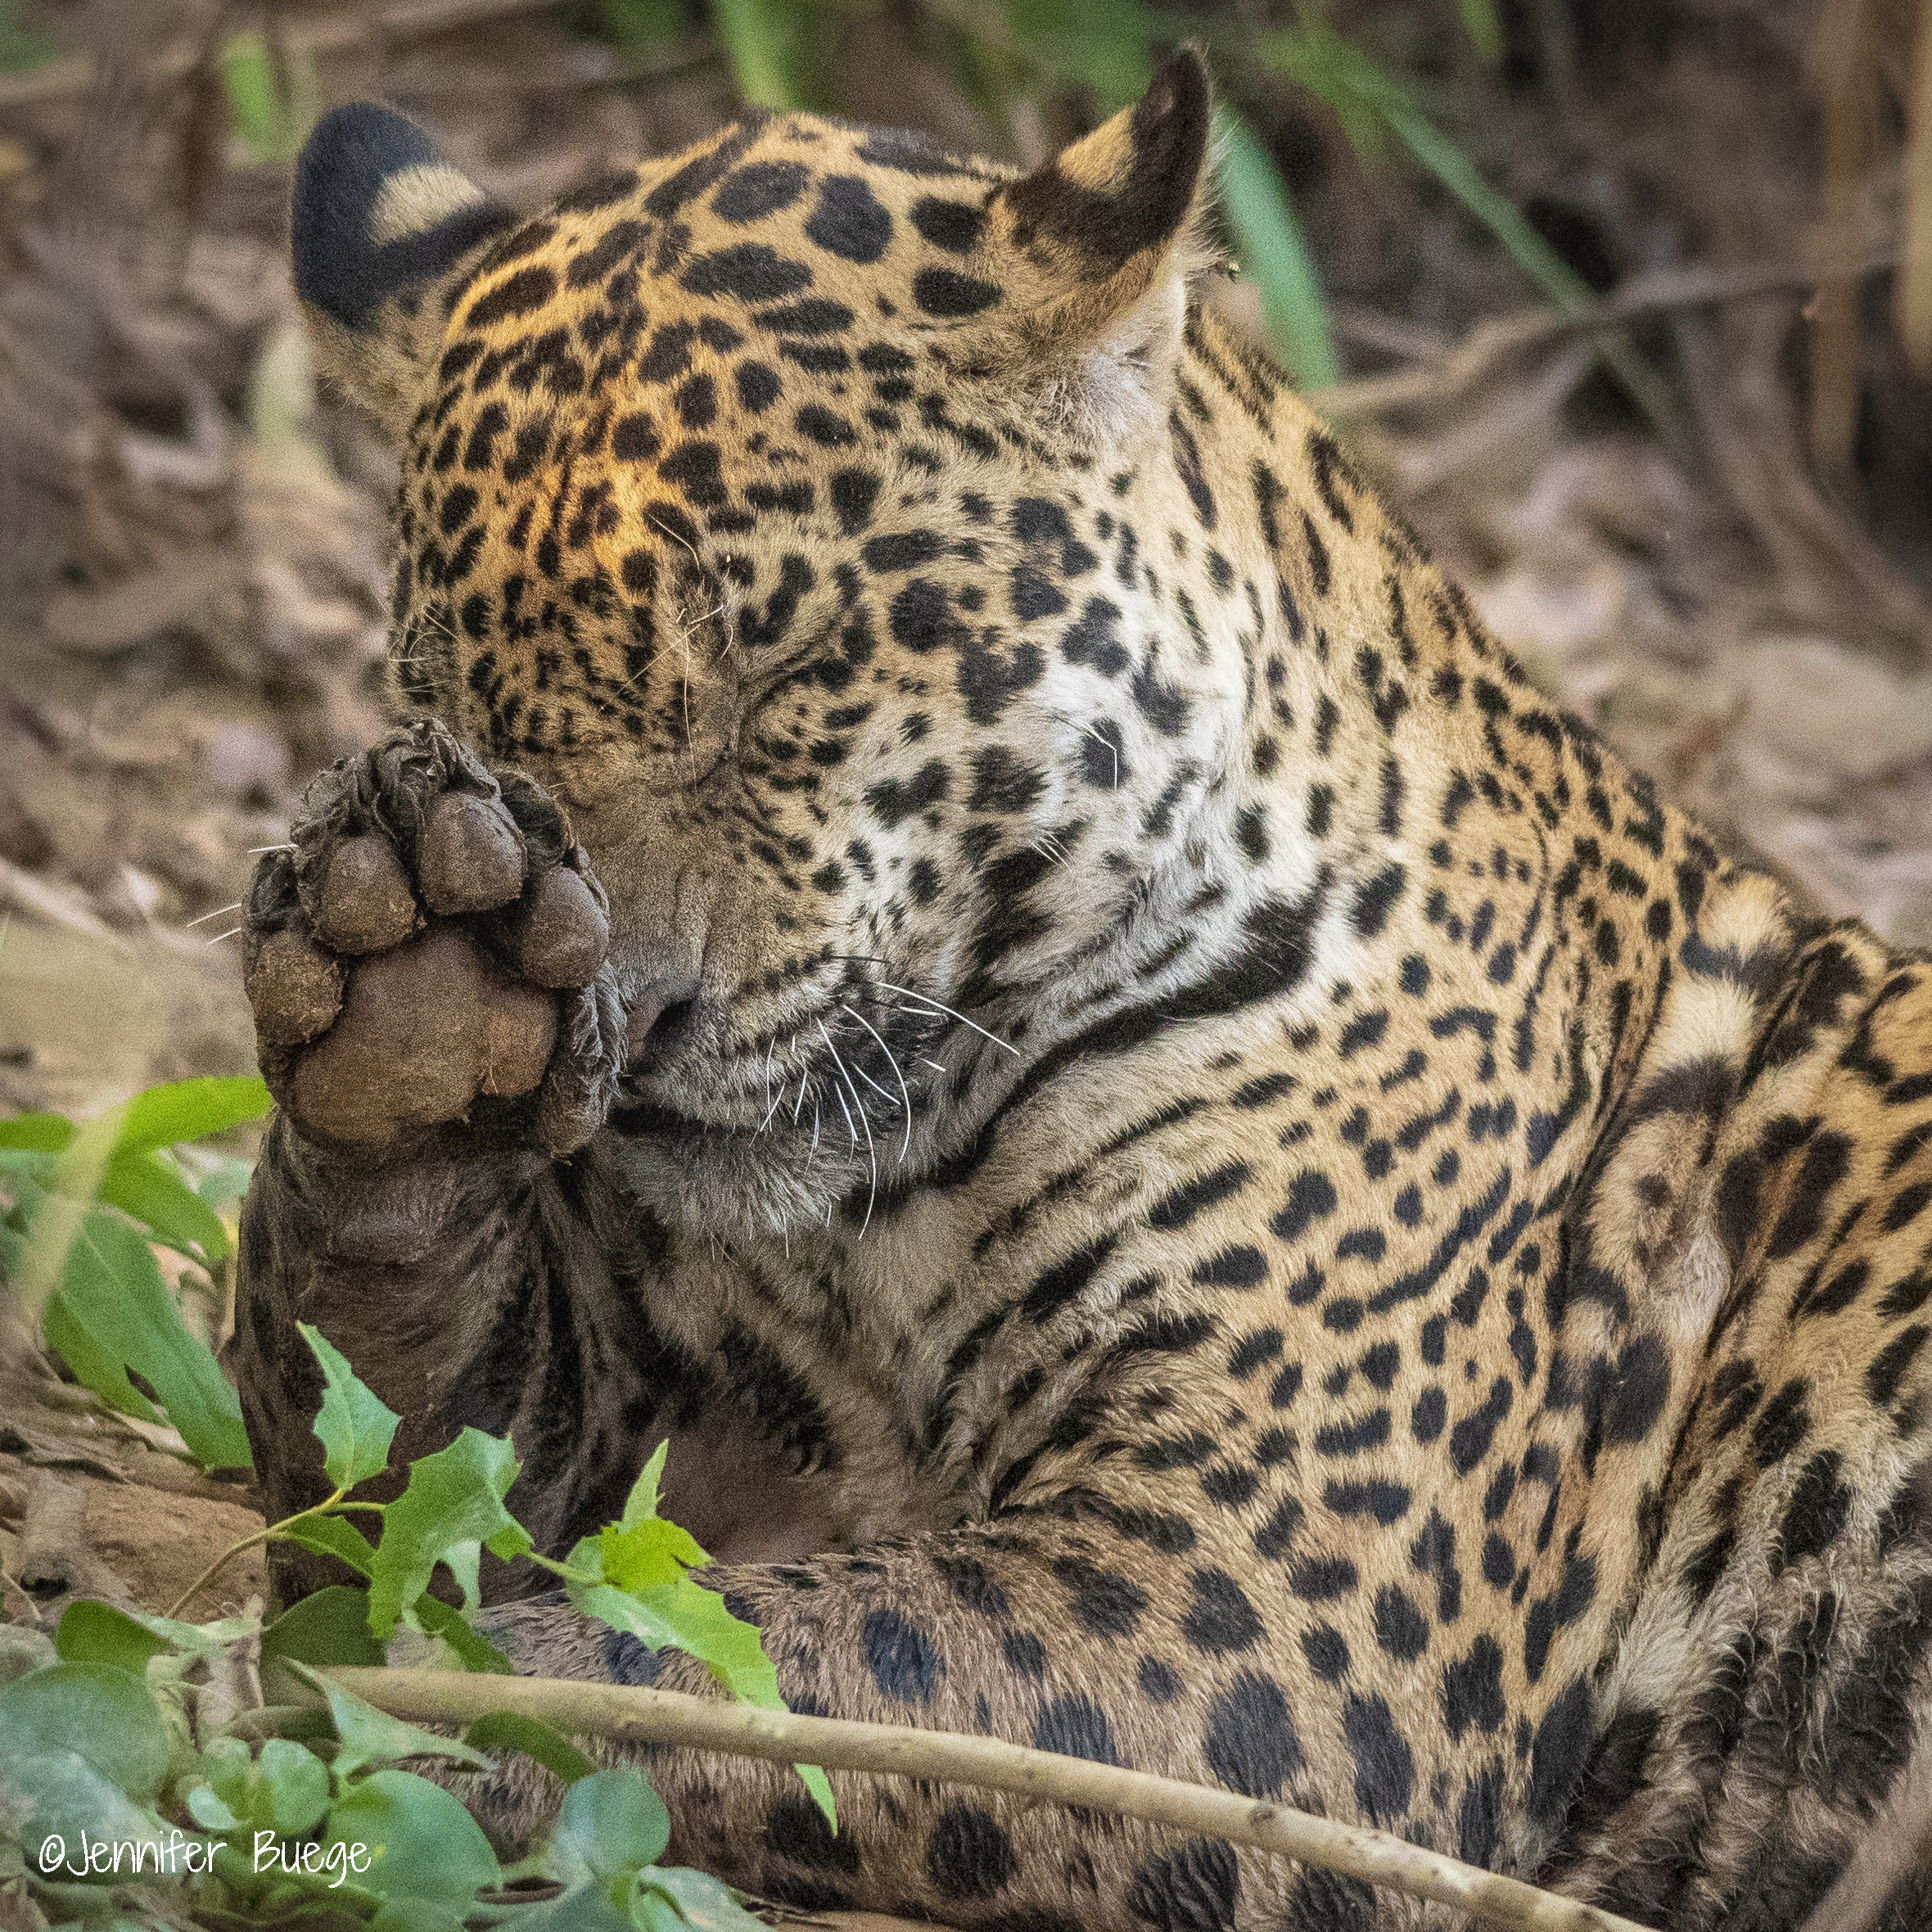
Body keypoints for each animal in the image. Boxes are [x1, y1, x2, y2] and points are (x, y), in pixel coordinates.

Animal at [231, 50, 1932, 1931]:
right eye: (459, 706)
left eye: (789, 664)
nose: (637, 1033)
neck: (882, 1200)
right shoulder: (621, 1424)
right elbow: (396, 1433)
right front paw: (414, 1003)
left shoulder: (1261, 1595)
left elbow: (766, 1664)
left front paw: (405, 1713)